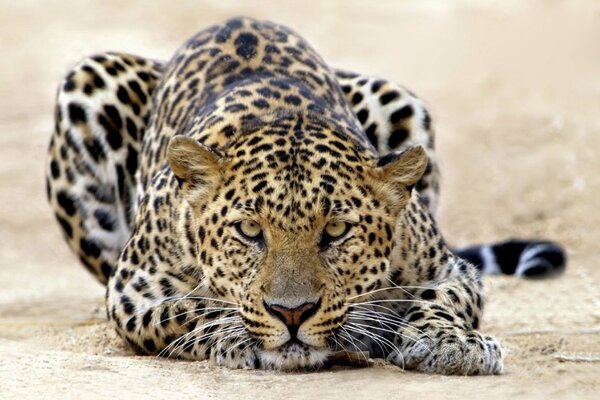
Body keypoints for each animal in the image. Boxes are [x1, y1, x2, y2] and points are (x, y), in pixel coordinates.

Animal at [44, 17, 564, 376]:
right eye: (248, 231)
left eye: (336, 231)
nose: (291, 313)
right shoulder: (132, 290)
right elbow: (193, 308)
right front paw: (238, 335)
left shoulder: (449, 268)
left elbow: (442, 299)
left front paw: (451, 344)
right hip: (87, 82)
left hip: (397, 97)